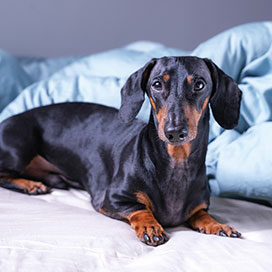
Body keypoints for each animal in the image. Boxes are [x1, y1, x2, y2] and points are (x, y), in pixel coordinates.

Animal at [0, 55, 242, 246]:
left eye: (200, 85)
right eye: (157, 84)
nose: (174, 132)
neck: (176, 163)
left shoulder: (199, 206)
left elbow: (201, 214)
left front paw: (217, 225)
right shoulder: (112, 199)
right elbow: (141, 208)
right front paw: (151, 226)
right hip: (19, 149)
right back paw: (31, 185)